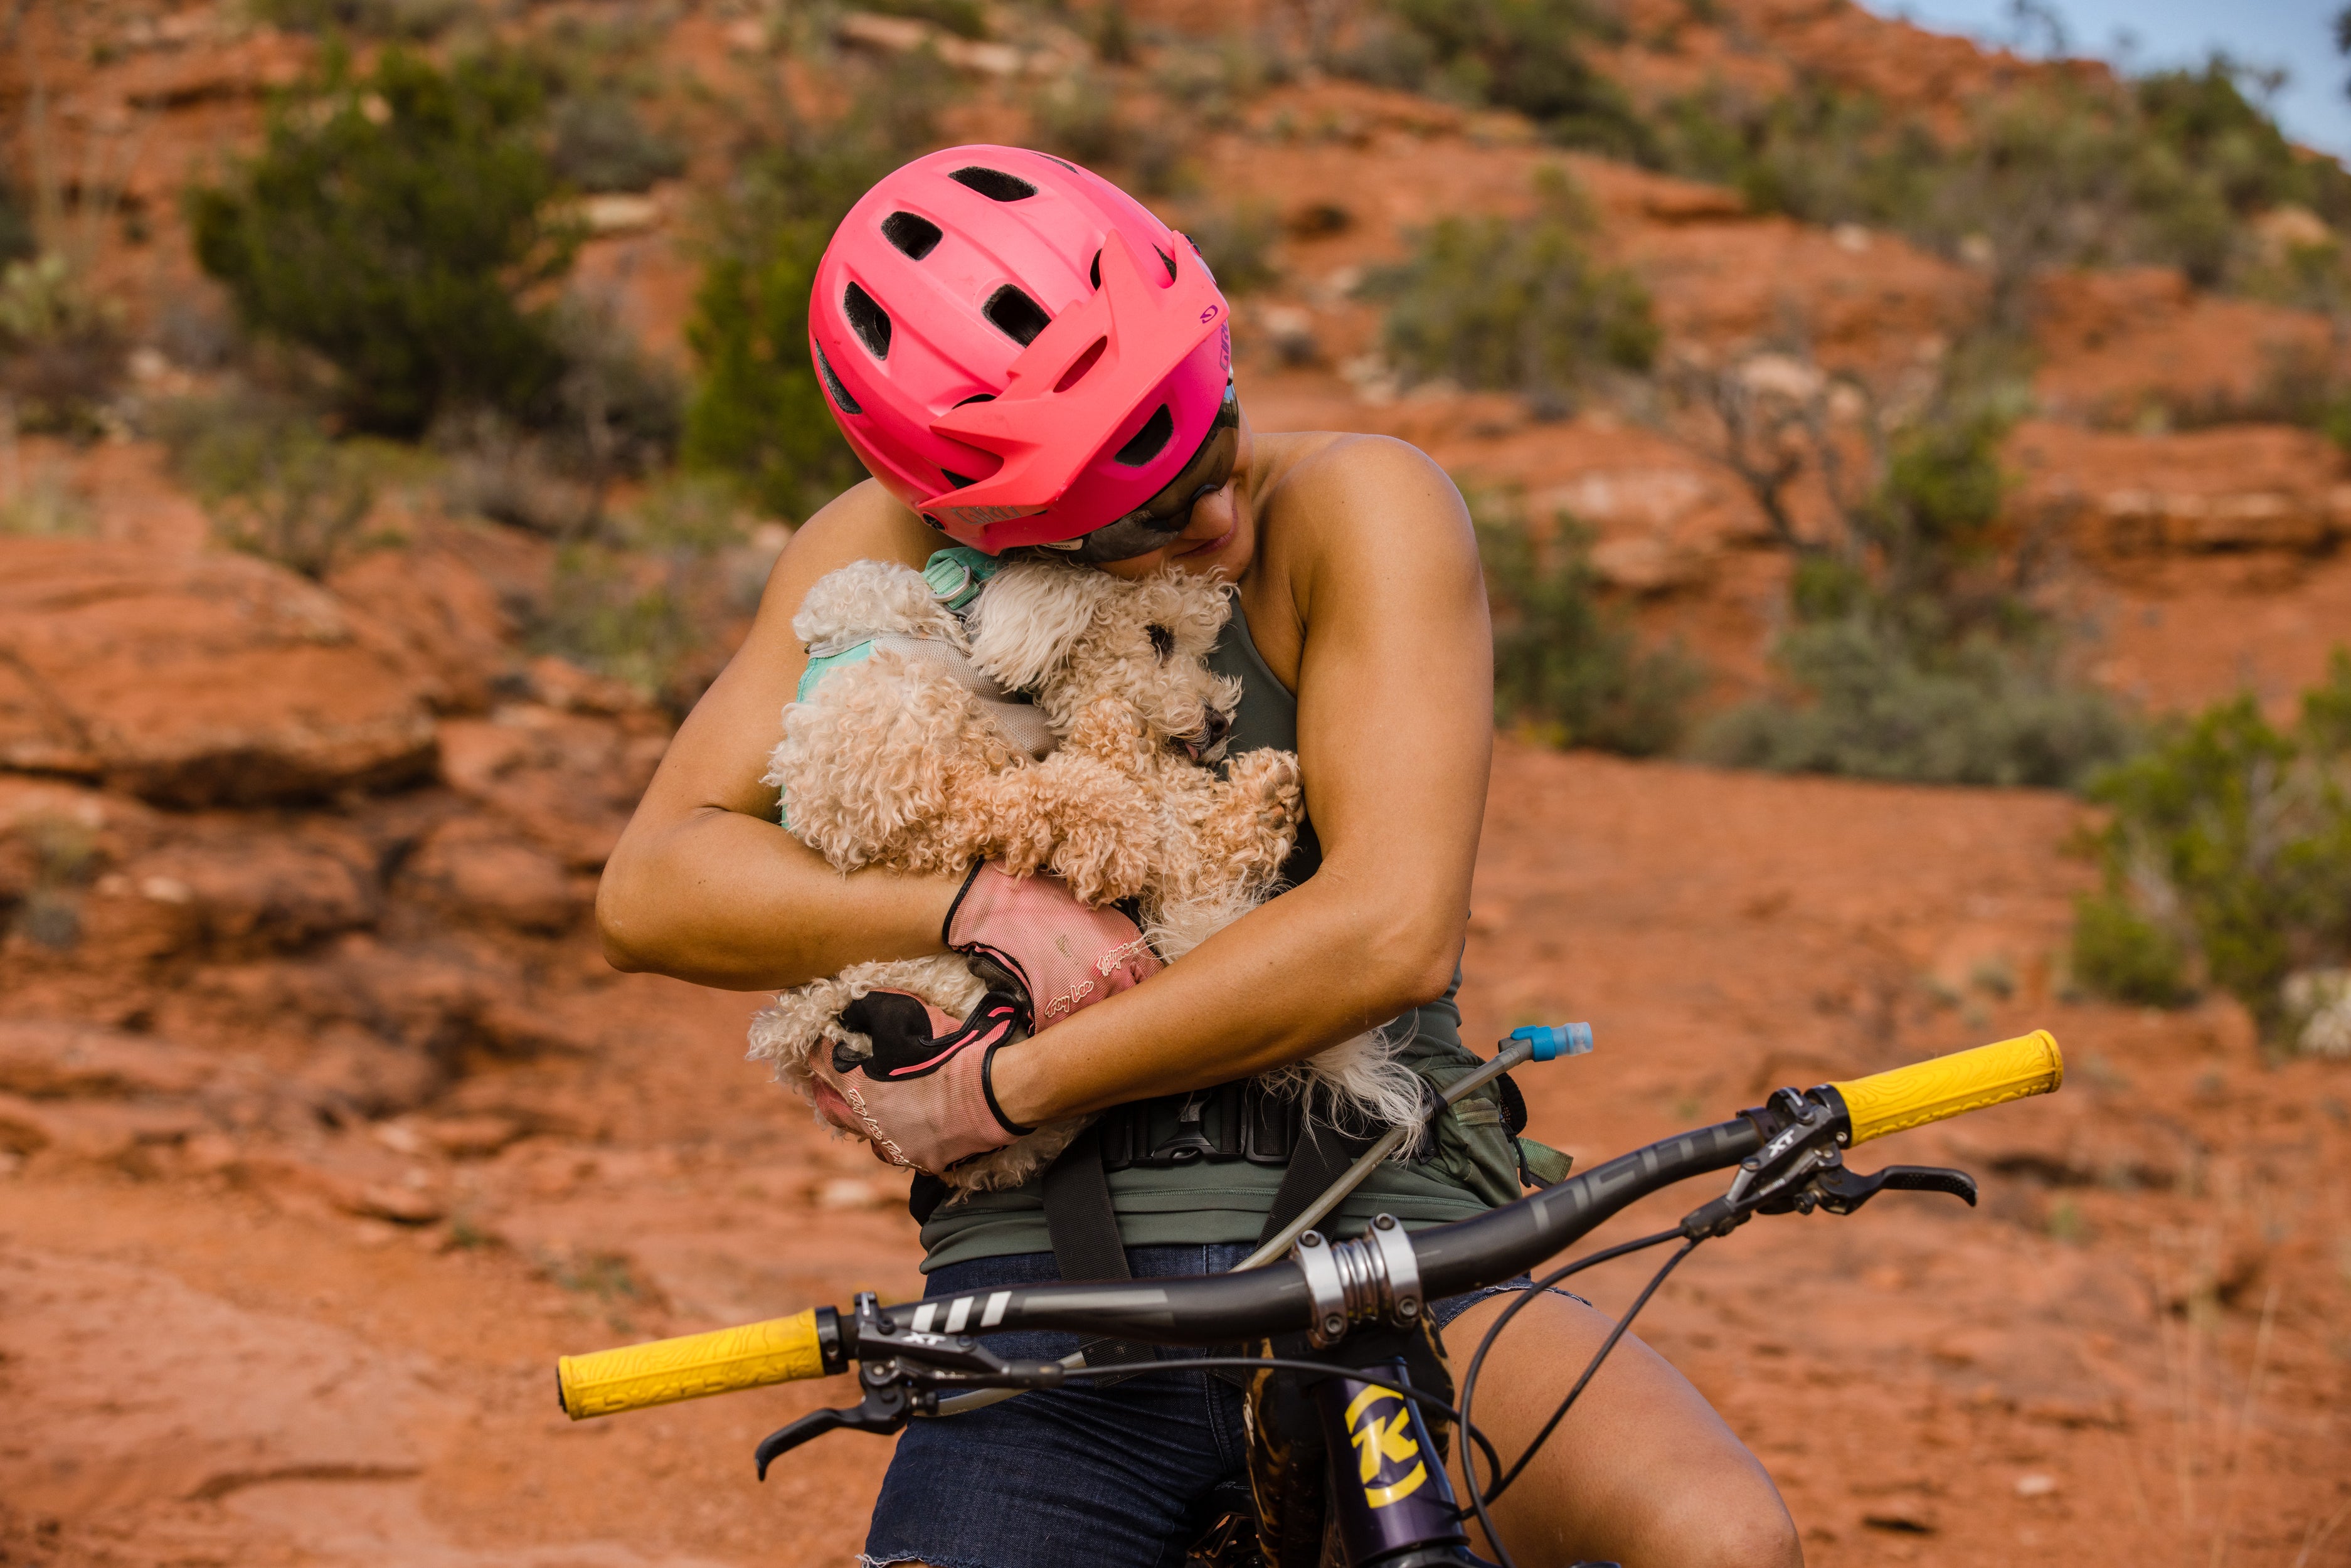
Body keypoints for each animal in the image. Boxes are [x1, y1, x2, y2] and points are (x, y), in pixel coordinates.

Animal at [747, 554, 1410, 1189]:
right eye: (1158, 635)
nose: (1219, 721)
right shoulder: (870, 779)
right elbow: (1008, 798)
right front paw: (1110, 825)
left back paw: (1257, 802)